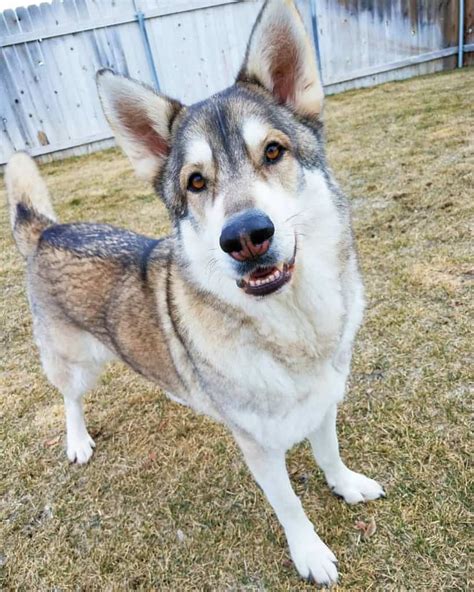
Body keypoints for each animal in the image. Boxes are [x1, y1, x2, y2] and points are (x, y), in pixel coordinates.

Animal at [4, 0, 386, 584]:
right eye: (196, 182)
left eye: (273, 151)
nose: (246, 237)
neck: (294, 327)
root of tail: (47, 229)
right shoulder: (258, 448)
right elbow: (290, 504)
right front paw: (310, 553)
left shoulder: (323, 405)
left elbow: (329, 456)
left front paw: (346, 486)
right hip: (73, 361)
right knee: (69, 398)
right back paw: (76, 441)